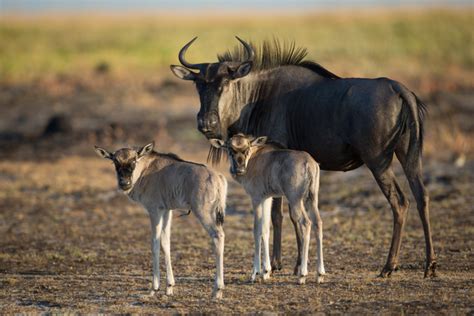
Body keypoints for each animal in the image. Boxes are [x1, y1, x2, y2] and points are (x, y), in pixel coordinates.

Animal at [95, 143, 228, 298]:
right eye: (115, 162)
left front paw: (154, 288)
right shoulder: (166, 211)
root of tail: (218, 177)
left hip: (203, 212)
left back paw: (217, 289)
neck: (145, 169)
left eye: (134, 161)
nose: (124, 183)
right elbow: (165, 243)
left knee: (218, 236)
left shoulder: (155, 211)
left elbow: (155, 244)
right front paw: (169, 287)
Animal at [211, 133, 326, 284]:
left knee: (306, 223)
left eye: (247, 147)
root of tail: (309, 163)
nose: (239, 170)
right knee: (318, 222)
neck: (255, 158)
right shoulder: (267, 198)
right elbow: (265, 229)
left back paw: (302, 274)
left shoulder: (256, 198)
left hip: (295, 199)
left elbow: (257, 229)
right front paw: (266, 272)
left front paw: (255, 273)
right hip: (311, 199)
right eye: (230, 149)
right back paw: (320, 274)